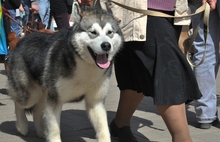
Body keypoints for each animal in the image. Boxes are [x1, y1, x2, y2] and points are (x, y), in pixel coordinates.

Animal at [6, 7, 123, 142]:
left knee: (36, 111)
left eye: (110, 32)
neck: (85, 65)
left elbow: (103, 129)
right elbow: (54, 128)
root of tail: (22, 39)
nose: (106, 45)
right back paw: (22, 126)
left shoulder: (96, 102)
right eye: (93, 32)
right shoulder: (55, 100)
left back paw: (41, 131)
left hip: (44, 92)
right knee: (18, 103)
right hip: (30, 94)